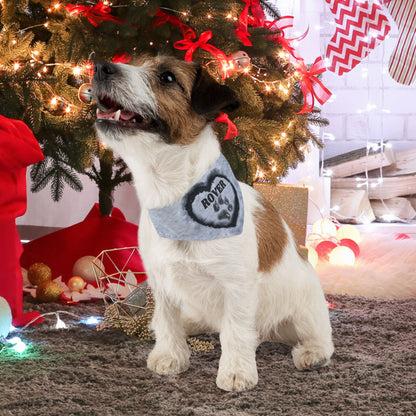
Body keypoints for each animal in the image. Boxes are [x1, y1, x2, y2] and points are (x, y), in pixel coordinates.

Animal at [92, 56, 334, 394]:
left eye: (167, 77)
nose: (100, 66)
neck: (175, 197)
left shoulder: (237, 286)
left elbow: (235, 330)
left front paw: (236, 372)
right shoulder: (162, 281)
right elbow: (166, 320)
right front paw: (171, 356)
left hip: (305, 310)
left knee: (319, 338)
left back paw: (311, 352)